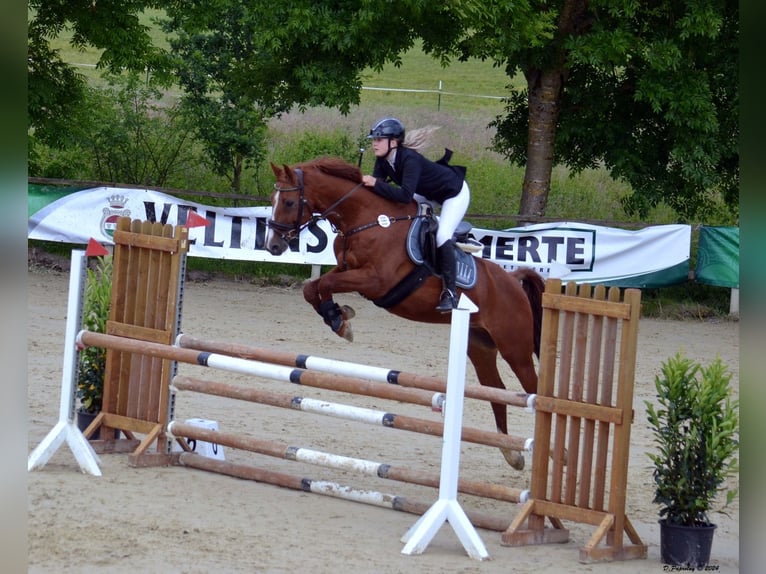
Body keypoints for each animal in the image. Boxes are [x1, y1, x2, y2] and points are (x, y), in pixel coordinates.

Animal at [268, 158, 544, 472]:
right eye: (272, 200)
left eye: (289, 201)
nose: (273, 246)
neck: (367, 219)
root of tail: (513, 280)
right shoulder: (347, 270)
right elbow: (313, 287)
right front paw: (339, 317)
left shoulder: (374, 280)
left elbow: (324, 284)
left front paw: (340, 320)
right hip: (480, 346)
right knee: (497, 391)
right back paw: (511, 453)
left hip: (515, 348)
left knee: (532, 389)